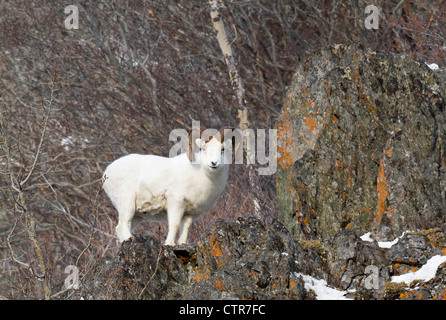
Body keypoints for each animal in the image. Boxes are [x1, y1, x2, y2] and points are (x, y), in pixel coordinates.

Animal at [102, 127, 232, 245]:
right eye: (203, 149)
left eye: (222, 149)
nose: (214, 163)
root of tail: (106, 174)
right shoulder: (176, 202)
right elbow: (174, 225)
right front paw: (169, 244)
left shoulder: (190, 213)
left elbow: (185, 229)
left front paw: (181, 244)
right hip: (127, 205)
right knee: (122, 225)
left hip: (137, 215)